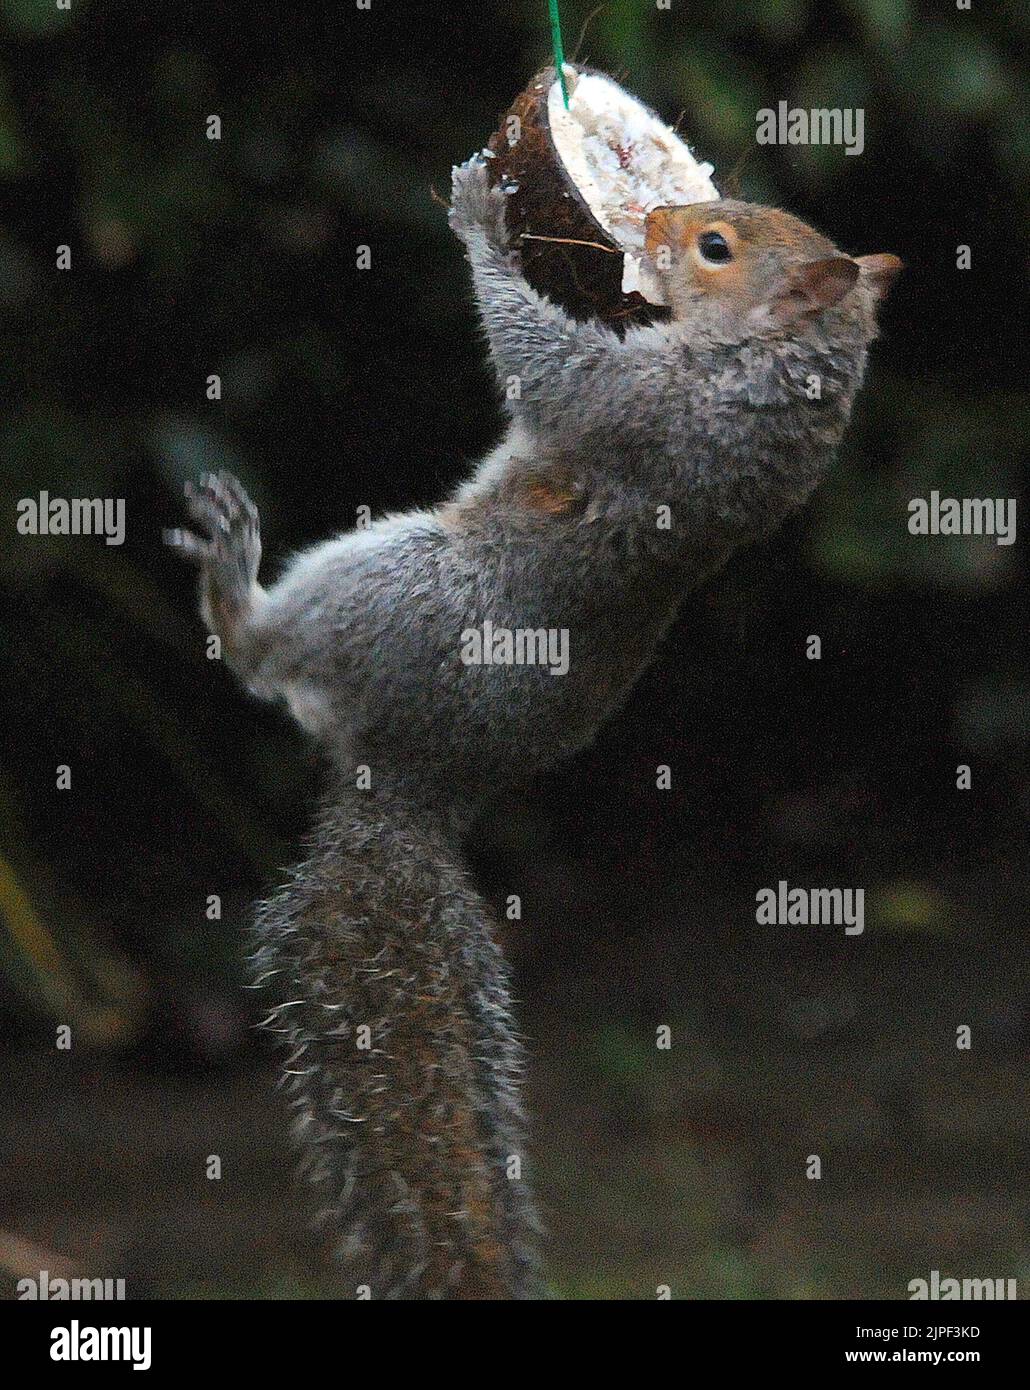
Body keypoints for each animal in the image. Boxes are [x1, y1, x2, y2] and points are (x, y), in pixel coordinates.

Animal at [165, 153, 900, 1298]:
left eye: (715, 247)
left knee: (268, 665)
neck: (764, 369)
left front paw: (481, 227)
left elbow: (541, 363)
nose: (655, 213)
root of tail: (413, 784)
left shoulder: (640, 406)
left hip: (389, 583)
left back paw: (234, 589)